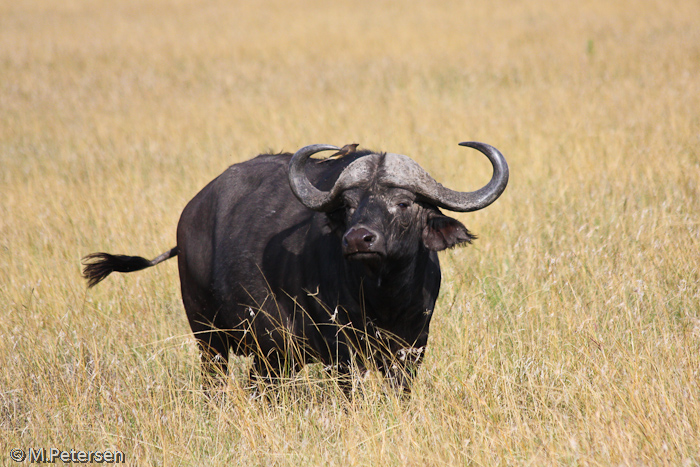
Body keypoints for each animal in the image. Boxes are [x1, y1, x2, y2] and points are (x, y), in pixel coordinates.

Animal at [83, 143, 508, 394]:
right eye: (348, 205)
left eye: (404, 203)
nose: (358, 239)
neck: (382, 295)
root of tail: (190, 215)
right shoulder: (341, 348)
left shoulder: (412, 346)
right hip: (209, 335)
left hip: (270, 354)